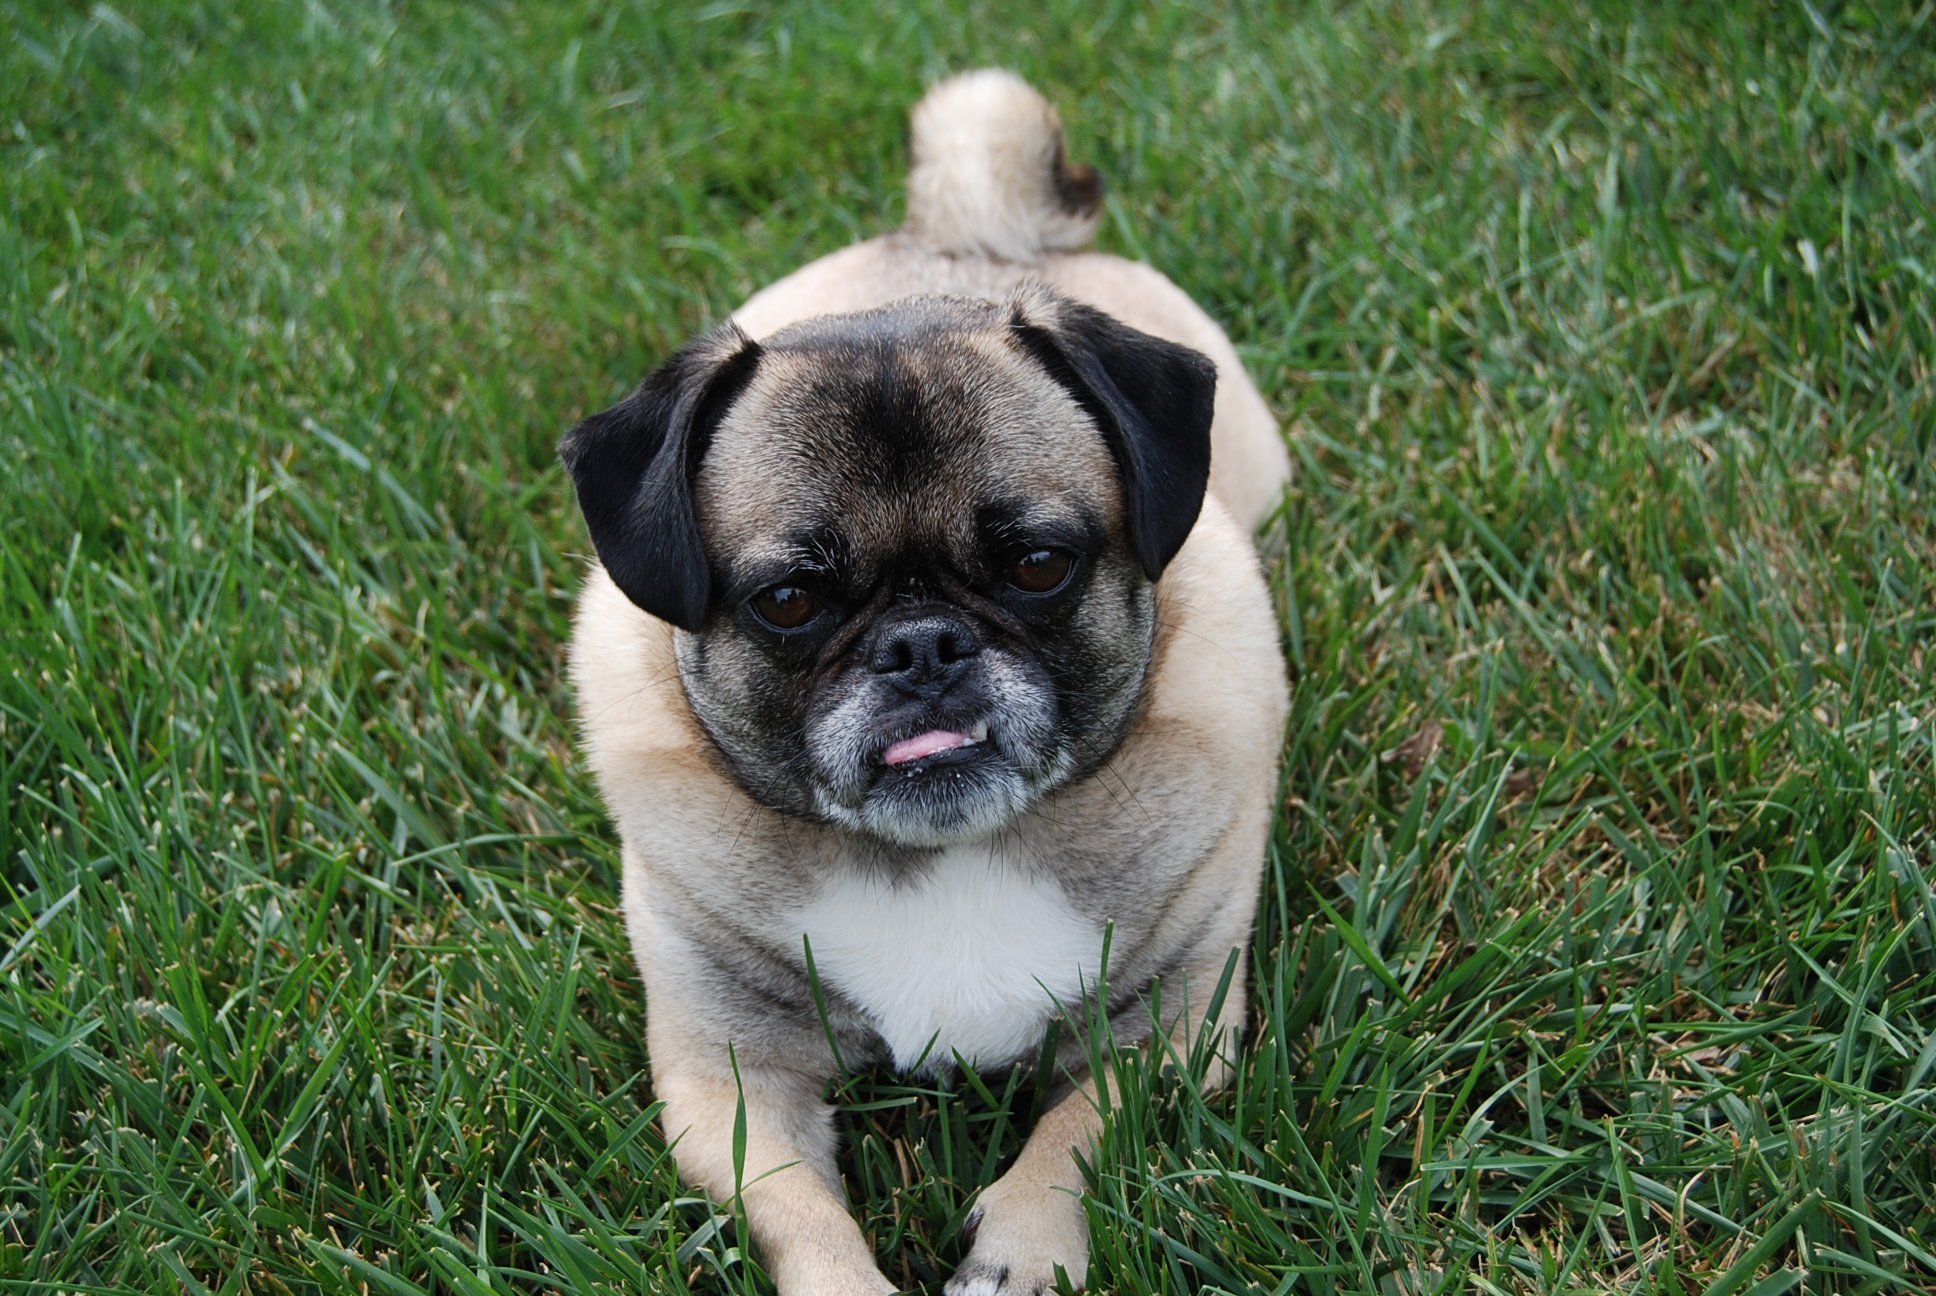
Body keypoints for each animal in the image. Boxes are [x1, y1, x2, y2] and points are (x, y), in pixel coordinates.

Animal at [557, 70, 1285, 1294]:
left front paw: (1023, 1255)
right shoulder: (729, 1078)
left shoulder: (1170, 1031)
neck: (941, 858)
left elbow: (1077, 1135)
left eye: (1038, 565)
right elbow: (796, 1211)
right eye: (788, 600)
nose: (922, 646)